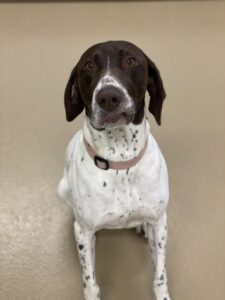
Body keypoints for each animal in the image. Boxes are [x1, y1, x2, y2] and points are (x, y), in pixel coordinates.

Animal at [58, 40, 171, 300]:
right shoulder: (84, 233)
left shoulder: (160, 223)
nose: (109, 96)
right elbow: (90, 281)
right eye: (89, 65)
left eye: (131, 60)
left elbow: (159, 275)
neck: (121, 163)